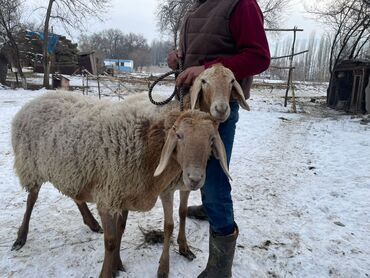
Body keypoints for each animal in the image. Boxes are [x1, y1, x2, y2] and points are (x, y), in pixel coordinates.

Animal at [10, 92, 231, 278]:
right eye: (179, 136)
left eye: (212, 139)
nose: (195, 179)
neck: (148, 143)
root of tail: (33, 101)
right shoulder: (108, 196)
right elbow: (110, 241)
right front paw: (107, 273)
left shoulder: (123, 193)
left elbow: (121, 230)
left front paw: (116, 264)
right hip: (31, 166)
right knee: (31, 200)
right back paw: (21, 237)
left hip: (71, 171)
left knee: (75, 196)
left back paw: (91, 223)